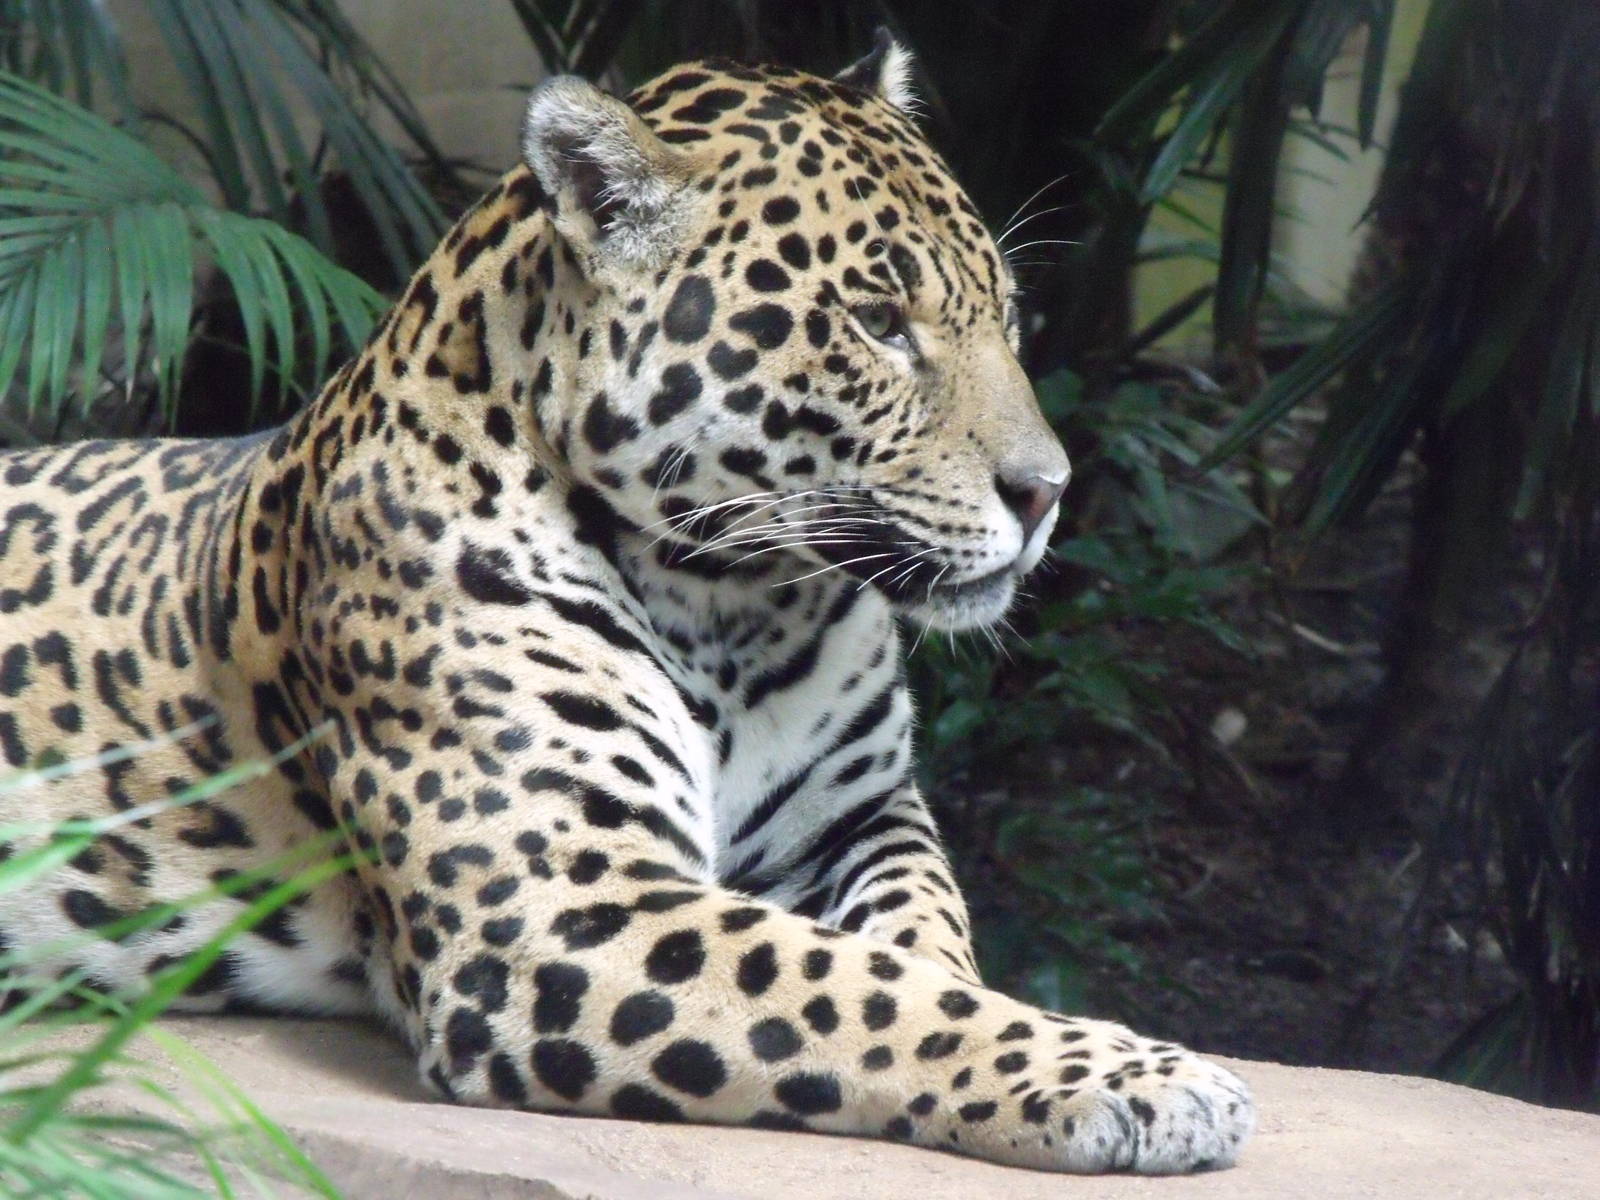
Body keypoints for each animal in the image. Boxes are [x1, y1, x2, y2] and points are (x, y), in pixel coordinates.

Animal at [0, 34, 1254, 1174]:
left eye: (1007, 310)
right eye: (877, 321)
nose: (1048, 492)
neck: (736, 607)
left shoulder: (859, 816)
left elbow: (920, 941)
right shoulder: (562, 905)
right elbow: (856, 988)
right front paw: (1147, 1079)